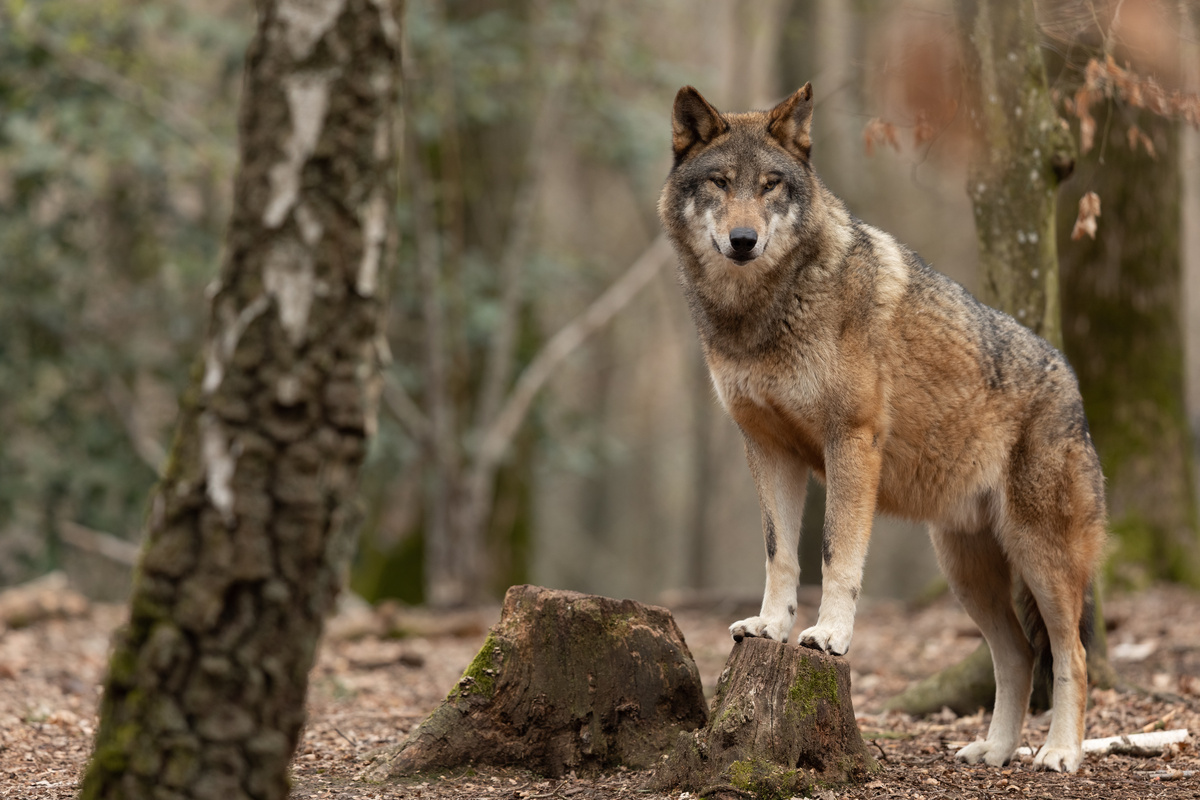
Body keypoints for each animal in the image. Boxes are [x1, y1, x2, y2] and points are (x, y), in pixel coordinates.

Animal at [662, 84, 1108, 772]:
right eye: (719, 182)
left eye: (769, 185)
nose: (743, 239)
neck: (761, 312)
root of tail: (1072, 381)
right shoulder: (767, 449)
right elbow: (781, 555)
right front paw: (770, 627)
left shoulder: (851, 441)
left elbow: (835, 554)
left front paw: (829, 636)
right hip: (966, 572)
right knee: (1017, 655)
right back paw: (995, 751)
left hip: (1042, 559)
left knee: (1071, 655)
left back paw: (1059, 754)